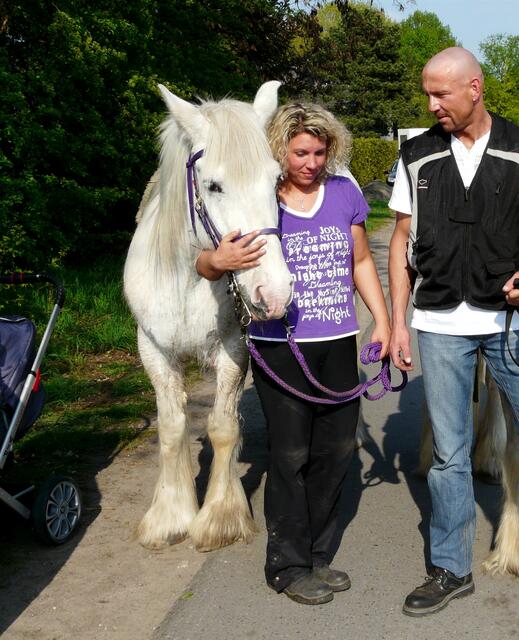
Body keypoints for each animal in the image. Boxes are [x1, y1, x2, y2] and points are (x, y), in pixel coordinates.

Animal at [123, 81, 293, 552]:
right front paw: (169, 516)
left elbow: (222, 426)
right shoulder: (153, 349)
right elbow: (171, 427)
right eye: (214, 185)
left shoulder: (233, 349)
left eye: (277, 180)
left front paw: (220, 517)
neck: (188, 277)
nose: (274, 292)